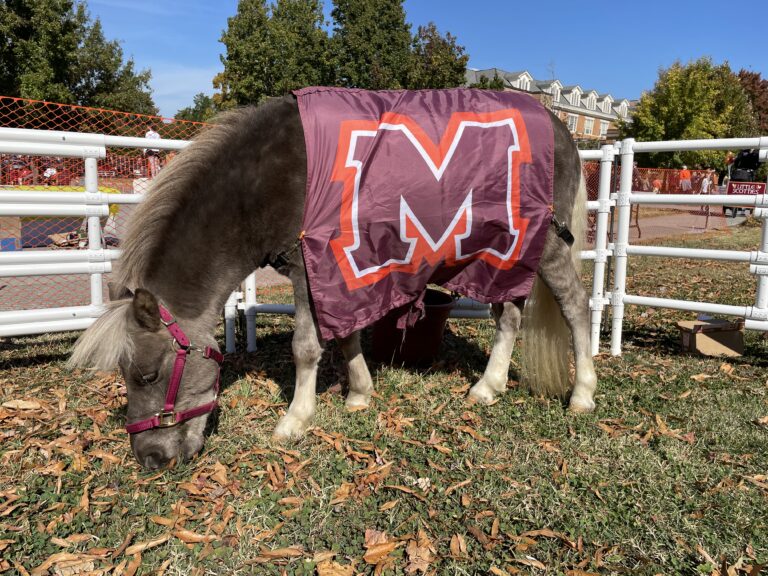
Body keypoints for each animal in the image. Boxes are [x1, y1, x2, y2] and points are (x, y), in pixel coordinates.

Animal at [69, 91, 597, 470]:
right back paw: (489, 386)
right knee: (509, 315)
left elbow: (307, 346)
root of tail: (560, 126)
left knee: (575, 306)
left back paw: (583, 393)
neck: (262, 184)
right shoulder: (338, 271)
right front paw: (360, 393)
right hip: (503, 256)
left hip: (544, 247)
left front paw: (296, 419)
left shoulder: (312, 268)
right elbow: (346, 336)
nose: (150, 459)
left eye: (146, 375)